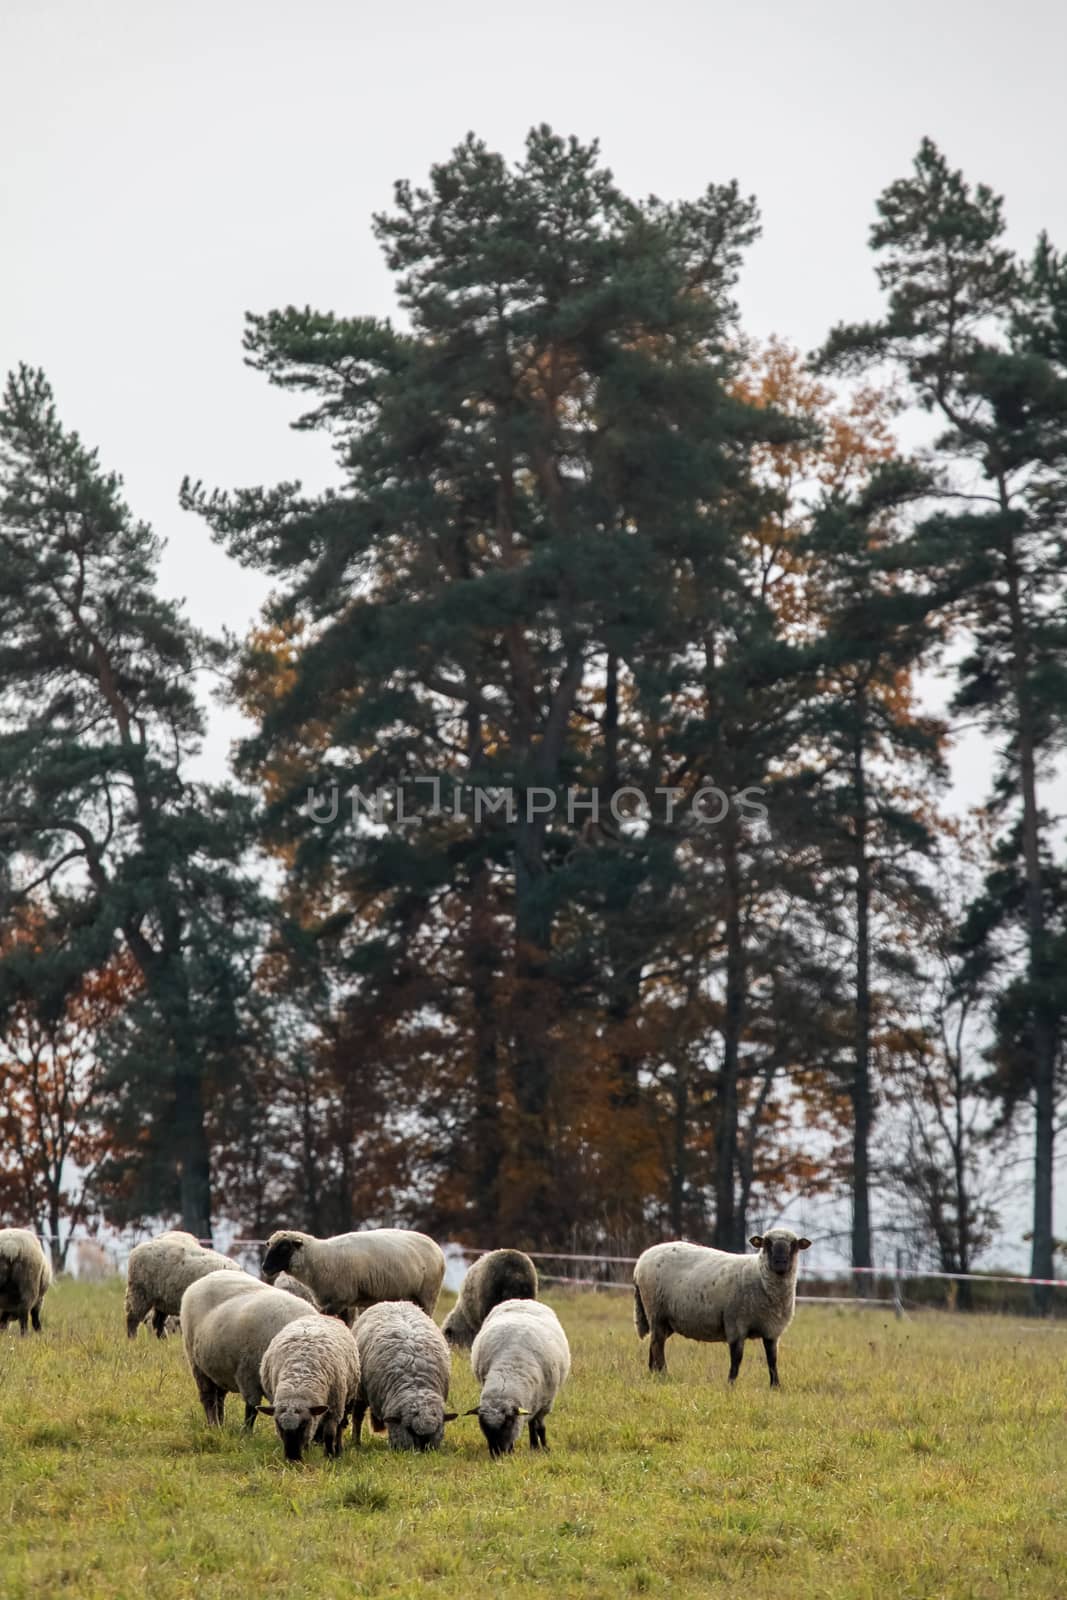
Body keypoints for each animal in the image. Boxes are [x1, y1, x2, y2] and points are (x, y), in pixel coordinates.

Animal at [259, 1312, 363, 1465]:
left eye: (304, 1424)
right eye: (279, 1425)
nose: (293, 1459)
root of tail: (323, 1315)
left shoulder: (334, 1409)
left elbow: (329, 1434)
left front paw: (329, 1456)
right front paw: (308, 1450)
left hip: (346, 1401)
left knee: (340, 1428)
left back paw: (338, 1451)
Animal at [262, 1222, 447, 1324]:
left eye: (284, 1248)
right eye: (269, 1245)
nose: (265, 1268)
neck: (318, 1258)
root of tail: (436, 1246)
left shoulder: (341, 1298)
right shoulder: (340, 1302)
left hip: (428, 1294)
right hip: (413, 1296)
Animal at [351, 1299, 457, 1452]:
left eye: (436, 1429)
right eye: (410, 1429)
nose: (423, 1451)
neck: (416, 1383)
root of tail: (393, 1301)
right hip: (359, 1391)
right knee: (357, 1416)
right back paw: (356, 1442)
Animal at [467, 1292, 566, 1459]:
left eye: (508, 1422)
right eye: (483, 1426)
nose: (497, 1454)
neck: (511, 1366)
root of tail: (523, 1300)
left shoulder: (545, 1403)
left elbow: (540, 1427)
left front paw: (544, 1449)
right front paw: (513, 1450)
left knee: (533, 1423)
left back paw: (534, 1446)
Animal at [633, 1222, 809, 1388]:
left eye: (794, 1245)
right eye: (767, 1243)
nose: (780, 1263)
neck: (760, 1277)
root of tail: (641, 1260)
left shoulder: (772, 1329)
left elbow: (772, 1359)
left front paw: (775, 1386)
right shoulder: (736, 1325)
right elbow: (737, 1358)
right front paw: (731, 1384)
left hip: (667, 1320)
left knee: (654, 1344)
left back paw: (653, 1373)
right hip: (656, 1312)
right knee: (657, 1345)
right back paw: (663, 1374)